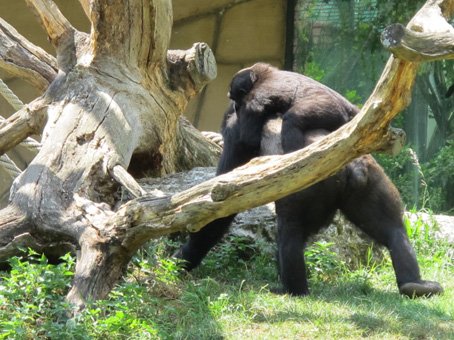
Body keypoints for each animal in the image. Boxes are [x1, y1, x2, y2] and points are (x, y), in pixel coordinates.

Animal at [175, 63, 444, 298]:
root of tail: (350, 165)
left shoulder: (240, 123)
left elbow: (220, 207)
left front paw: (183, 259)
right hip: (370, 176)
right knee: (393, 230)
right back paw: (415, 284)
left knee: (290, 233)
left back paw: (294, 290)